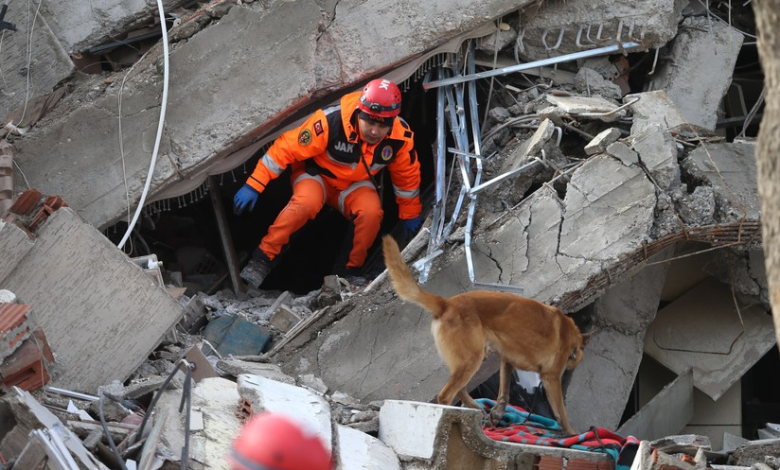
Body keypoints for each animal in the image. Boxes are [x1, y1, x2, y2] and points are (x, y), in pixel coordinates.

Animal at [380, 237, 588, 436]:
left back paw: (477, 410)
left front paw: (497, 414)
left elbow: (504, 393)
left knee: (460, 390)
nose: (571, 367)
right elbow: (561, 412)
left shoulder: (506, 360)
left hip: (470, 360)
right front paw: (570, 433)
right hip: (472, 360)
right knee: (446, 395)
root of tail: (446, 304)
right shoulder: (551, 378)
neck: (571, 335)